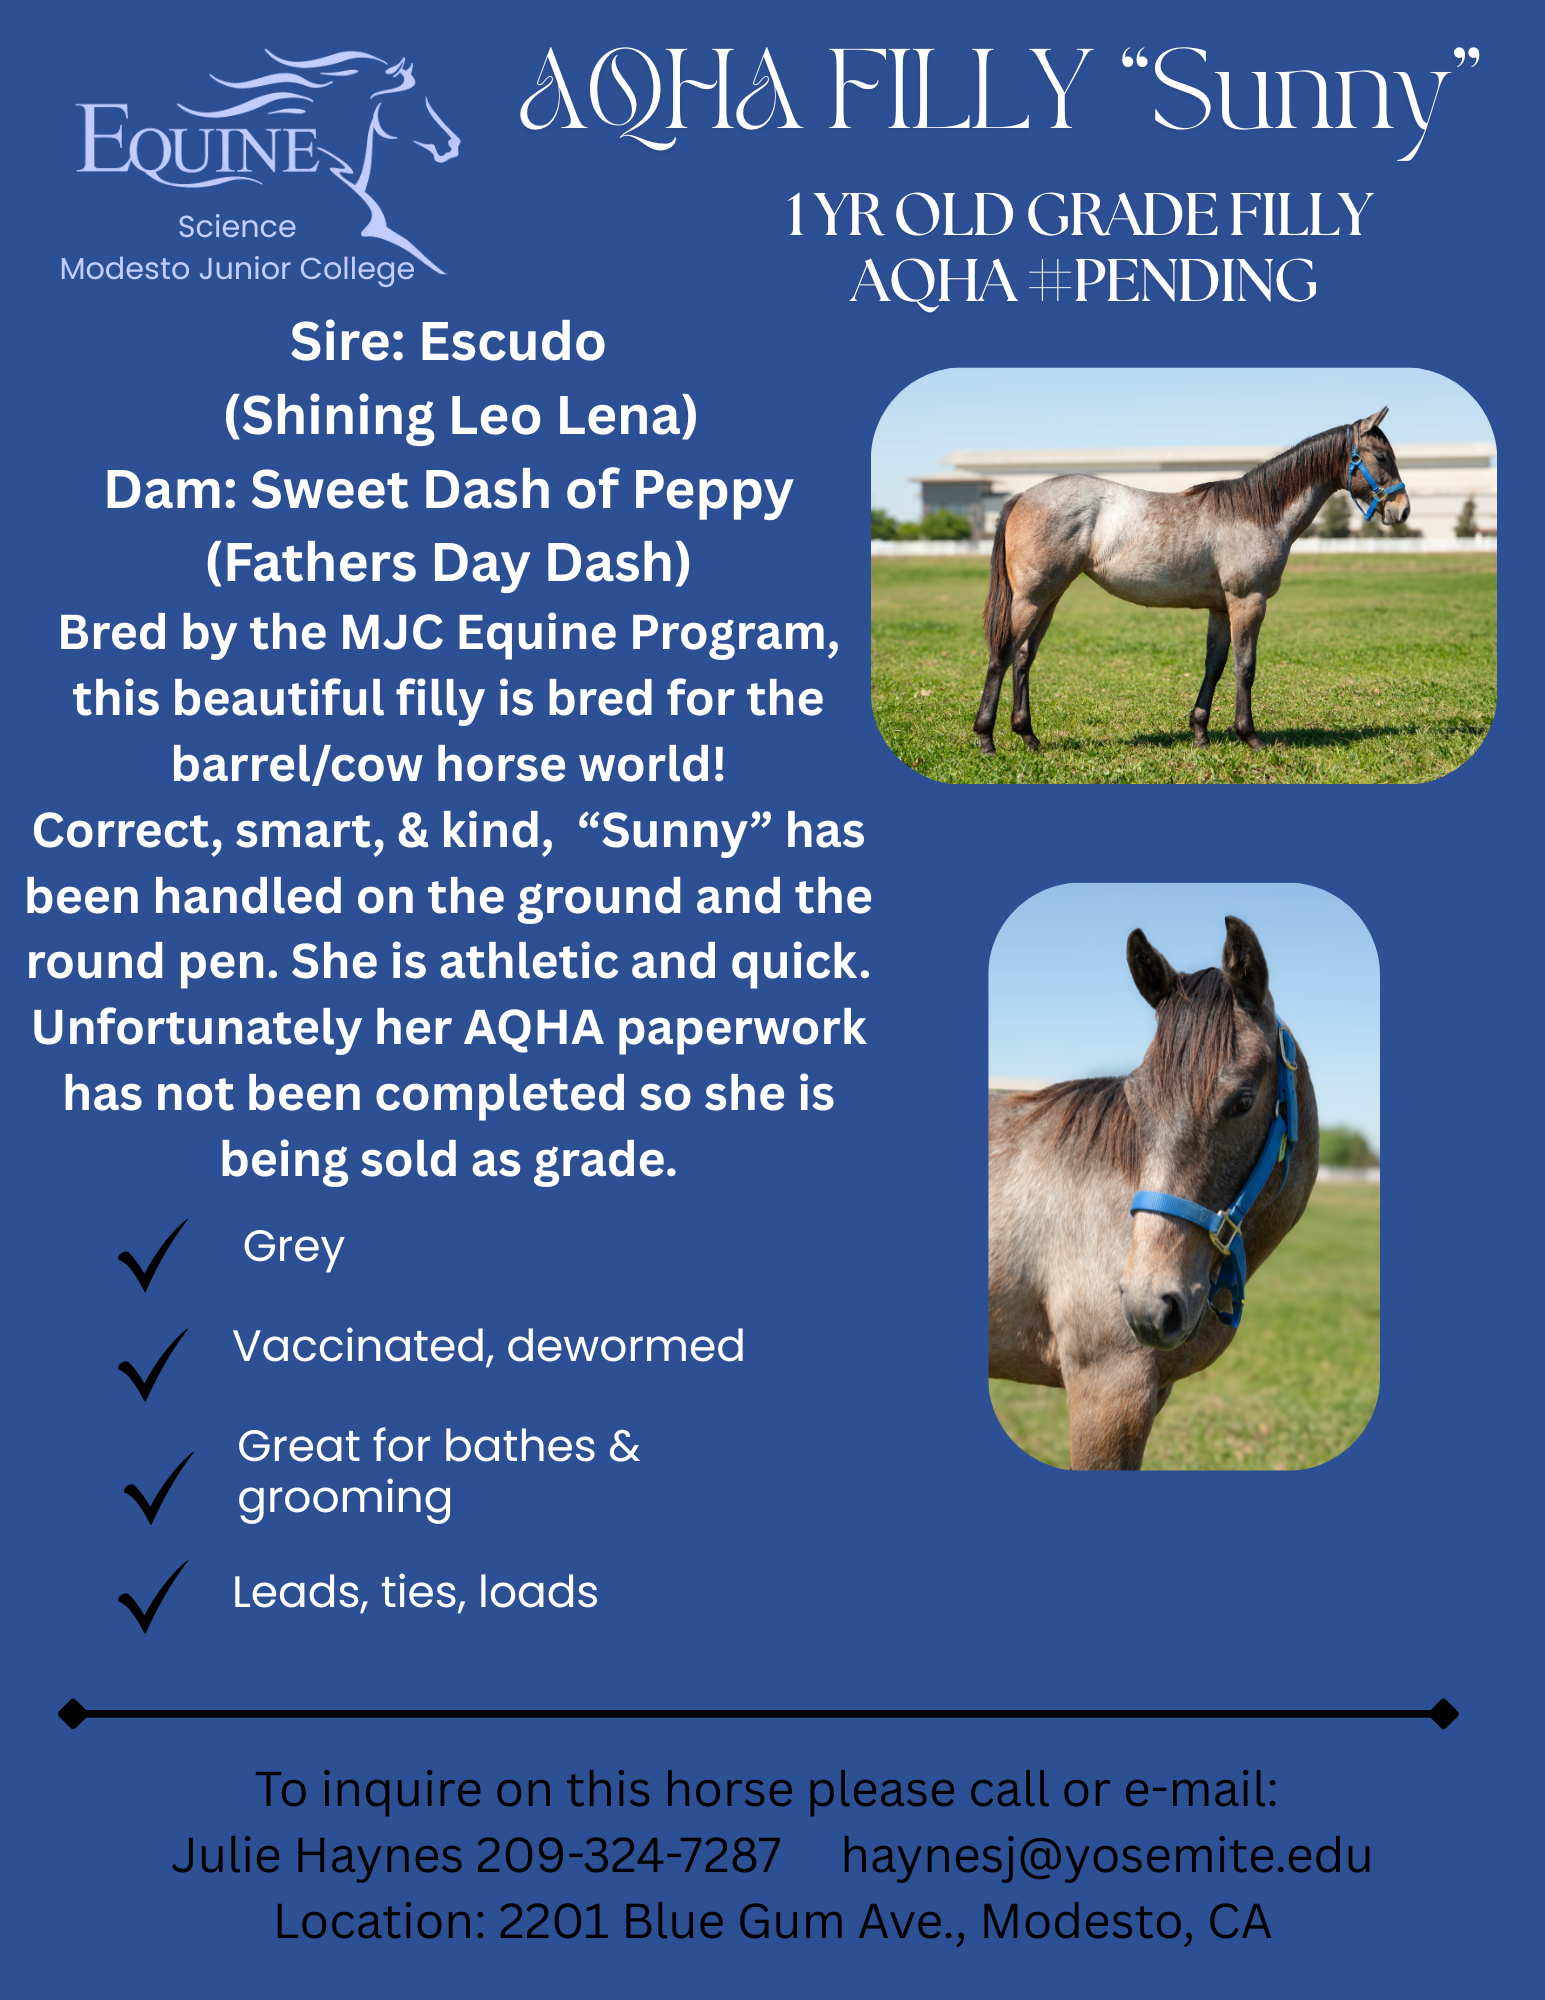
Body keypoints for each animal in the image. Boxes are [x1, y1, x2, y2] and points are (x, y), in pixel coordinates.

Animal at [973, 410, 1409, 755]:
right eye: (1381, 456)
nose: (1402, 510)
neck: (1257, 512)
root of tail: (1022, 495)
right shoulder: (1248, 601)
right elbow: (1245, 667)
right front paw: (1249, 736)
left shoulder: (1221, 607)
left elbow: (1214, 666)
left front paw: (1200, 732)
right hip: (1031, 599)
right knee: (1002, 656)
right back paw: (986, 739)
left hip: (1048, 599)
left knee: (1023, 659)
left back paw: (1029, 737)